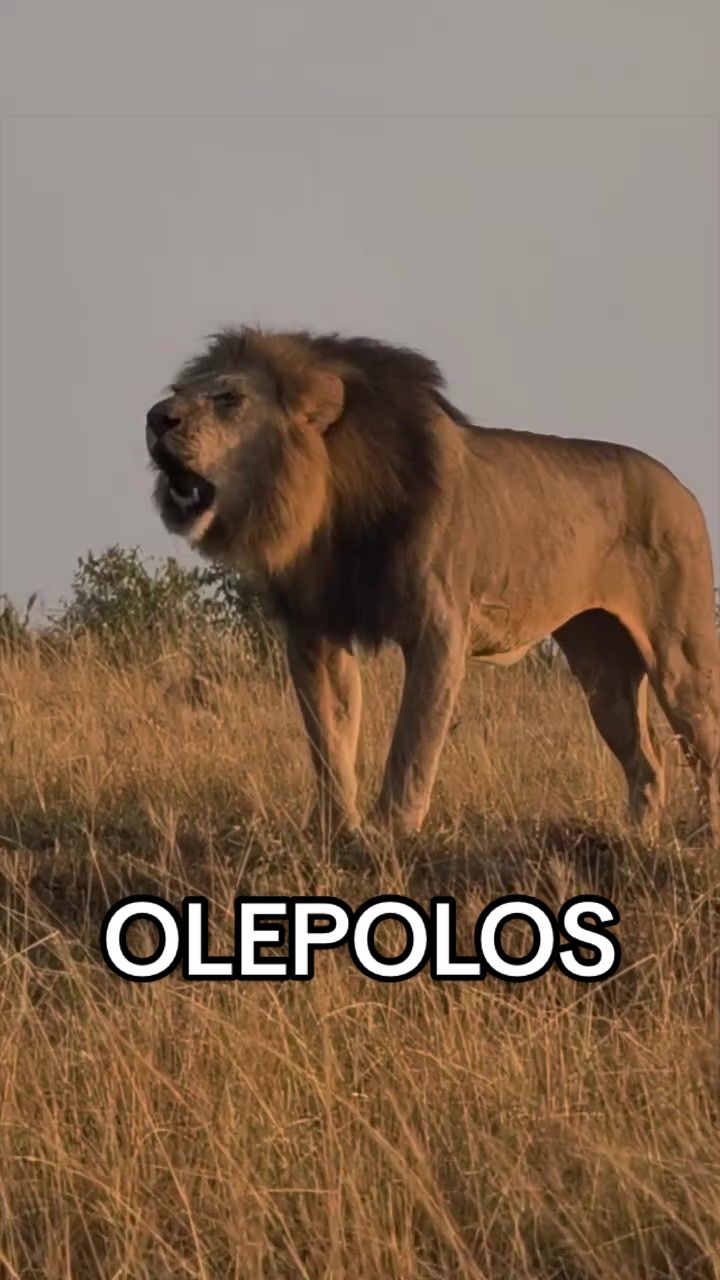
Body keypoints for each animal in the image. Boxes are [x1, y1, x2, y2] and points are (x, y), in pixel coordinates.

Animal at [145, 328, 720, 843]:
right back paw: (635, 839)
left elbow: (413, 738)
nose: (154, 418)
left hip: (679, 657)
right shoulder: (315, 631)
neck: (330, 504)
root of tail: (683, 489)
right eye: (176, 392)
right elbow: (328, 736)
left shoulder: (439, 626)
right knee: (647, 762)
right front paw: (334, 828)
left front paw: (390, 829)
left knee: (703, 740)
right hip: (602, 667)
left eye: (229, 399)